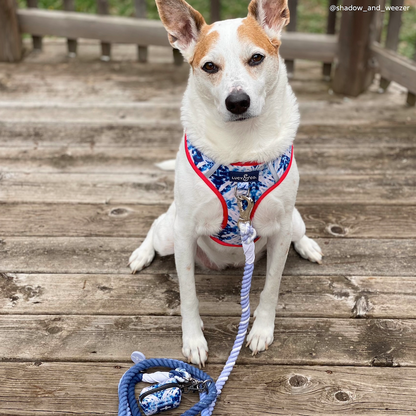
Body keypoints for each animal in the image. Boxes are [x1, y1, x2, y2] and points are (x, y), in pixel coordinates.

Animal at [128, 0, 324, 368]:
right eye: (209, 66)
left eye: (257, 58)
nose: (237, 102)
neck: (241, 153)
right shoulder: (185, 231)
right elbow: (188, 295)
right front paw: (193, 340)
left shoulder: (280, 230)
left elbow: (271, 287)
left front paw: (261, 329)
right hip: (169, 234)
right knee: (155, 228)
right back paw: (141, 254)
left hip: (295, 221)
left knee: (299, 234)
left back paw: (308, 246)